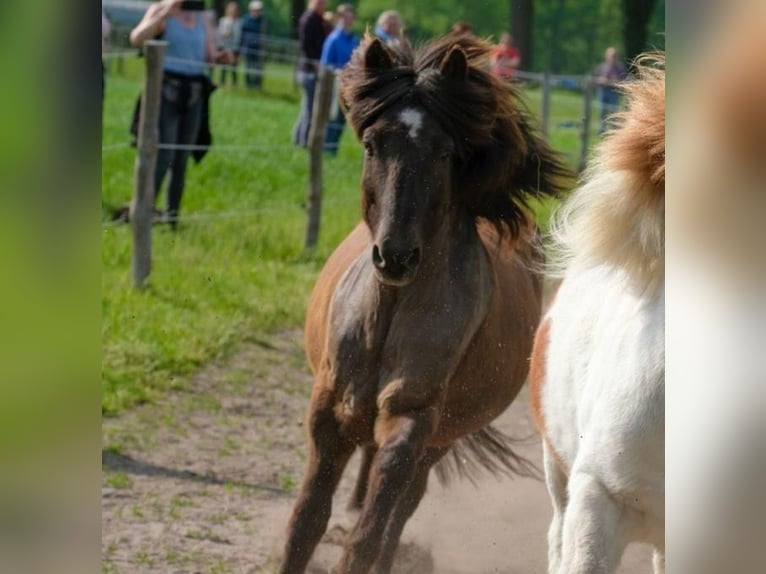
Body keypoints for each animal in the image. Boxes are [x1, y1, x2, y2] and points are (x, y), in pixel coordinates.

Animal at [280, 33, 570, 574]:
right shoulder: (330, 411)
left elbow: (371, 533)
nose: (395, 255)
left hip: (441, 438)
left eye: (444, 153)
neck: (390, 311)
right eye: (372, 144)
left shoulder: (412, 418)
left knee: (403, 507)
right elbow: (305, 524)